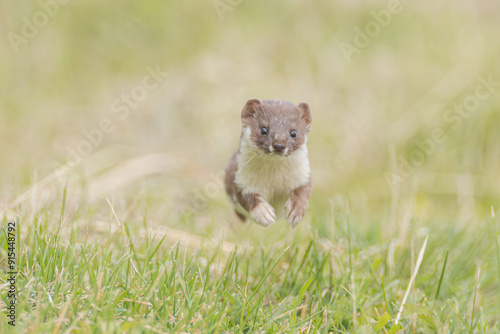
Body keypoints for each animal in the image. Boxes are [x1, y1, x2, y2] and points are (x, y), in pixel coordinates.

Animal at [226, 98, 312, 226]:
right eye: (263, 129)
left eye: (293, 132)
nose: (279, 145)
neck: (274, 180)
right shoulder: (240, 179)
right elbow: (246, 197)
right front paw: (263, 213)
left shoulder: (303, 174)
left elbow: (304, 190)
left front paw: (296, 210)